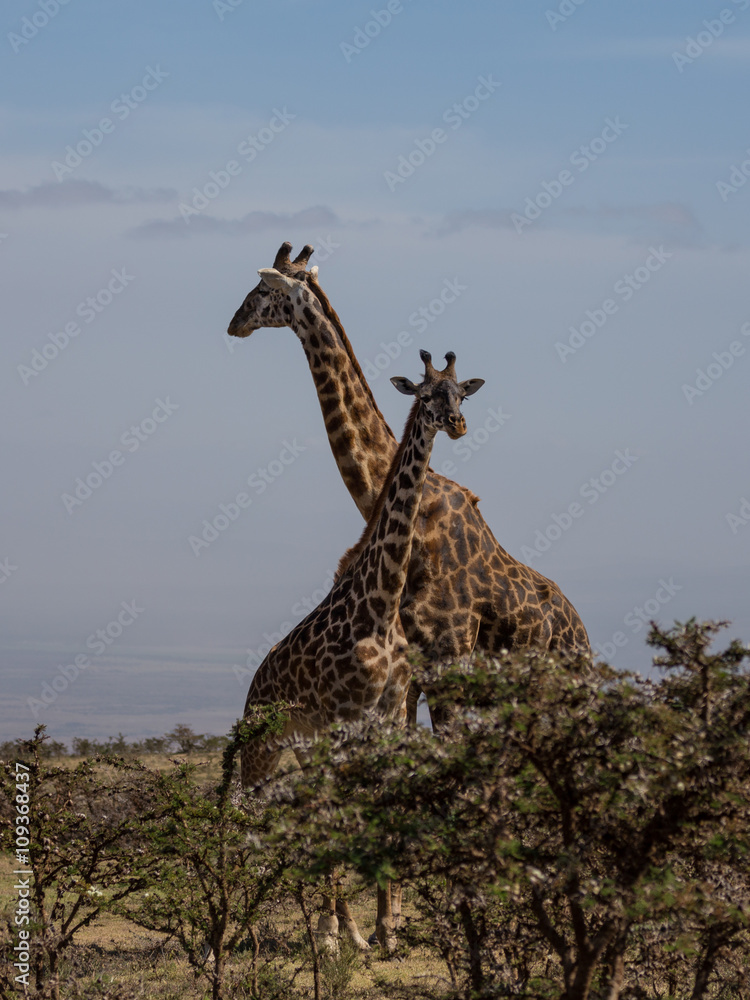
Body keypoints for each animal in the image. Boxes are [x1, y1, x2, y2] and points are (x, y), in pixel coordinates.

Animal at [240, 345, 484, 953]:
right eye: (426, 394)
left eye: (461, 394)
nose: (457, 424)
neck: (381, 602)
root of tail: (255, 683)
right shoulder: (342, 718)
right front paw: (348, 933)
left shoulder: (385, 714)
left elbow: (373, 812)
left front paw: (380, 933)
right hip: (264, 744)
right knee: (243, 816)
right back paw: (239, 933)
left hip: (302, 746)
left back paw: (337, 929)